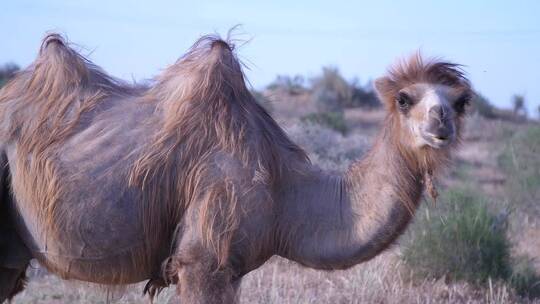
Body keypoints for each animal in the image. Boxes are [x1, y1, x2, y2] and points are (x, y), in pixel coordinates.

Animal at [0, 32, 472, 302]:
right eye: (405, 99)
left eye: (461, 101)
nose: (440, 123)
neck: (285, 190)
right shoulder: (203, 261)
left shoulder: (229, 269)